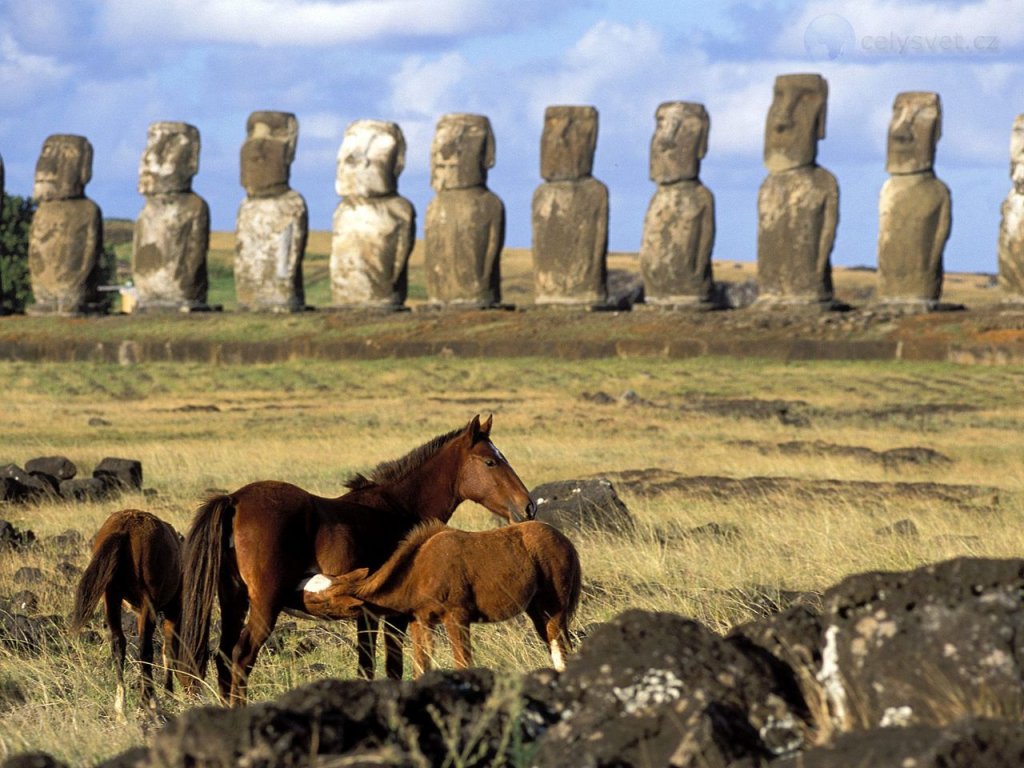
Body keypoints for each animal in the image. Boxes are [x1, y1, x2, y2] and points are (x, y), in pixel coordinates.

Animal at [70, 509, 184, 720]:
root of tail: (125, 528)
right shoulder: (172, 610)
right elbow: (168, 650)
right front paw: (168, 693)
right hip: (147, 601)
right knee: (145, 648)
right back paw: (149, 702)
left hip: (111, 597)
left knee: (118, 643)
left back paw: (121, 707)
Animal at [179, 415, 535, 705]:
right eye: (490, 462)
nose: (528, 507)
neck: (399, 508)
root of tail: (234, 500)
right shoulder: (393, 616)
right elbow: (391, 667)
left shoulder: (367, 615)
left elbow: (367, 667)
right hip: (265, 605)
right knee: (241, 659)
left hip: (233, 600)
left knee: (224, 659)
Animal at [302, 519, 581, 676]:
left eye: (317, 600)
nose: (296, 600)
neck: (418, 572)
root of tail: (566, 542)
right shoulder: (421, 621)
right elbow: (421, 667)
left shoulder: (457, 618)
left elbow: (463, 663)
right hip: (536, 610)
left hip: (554, 606)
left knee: (560, 646)